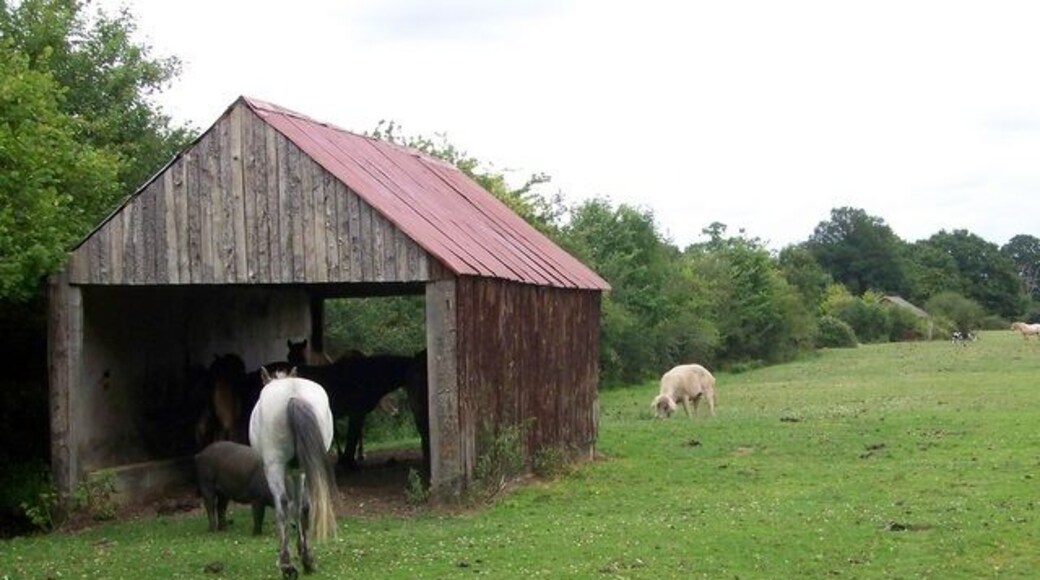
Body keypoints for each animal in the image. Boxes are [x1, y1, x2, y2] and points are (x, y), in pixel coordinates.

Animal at [249, 368, 337, 579]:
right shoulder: (299, 471)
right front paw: (303, 551)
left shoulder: (288, 472)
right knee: (304, 506)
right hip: (305, 467)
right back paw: (307, 560)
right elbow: (299, 507)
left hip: (275, 466)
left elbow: (290, 506)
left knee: (282, 505)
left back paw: (286, 564)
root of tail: (293, 394)